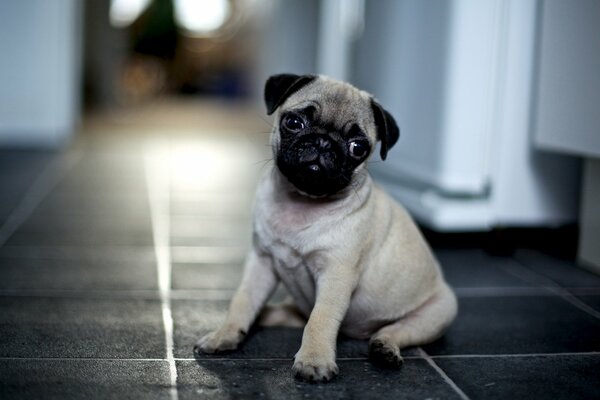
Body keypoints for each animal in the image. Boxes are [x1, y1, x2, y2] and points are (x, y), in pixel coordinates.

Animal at [194, 74, 457, 382]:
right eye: (294, 122)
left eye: (358, 147)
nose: (323, 142)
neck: (301, 201)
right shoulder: (261, 263)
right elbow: (243, 300)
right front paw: (225, 334)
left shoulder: (336, 274)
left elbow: (320, 319)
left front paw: (314, 360)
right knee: (289, 313)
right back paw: (262, 316)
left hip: (437, 314)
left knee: (394, 330)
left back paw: (385, 349)